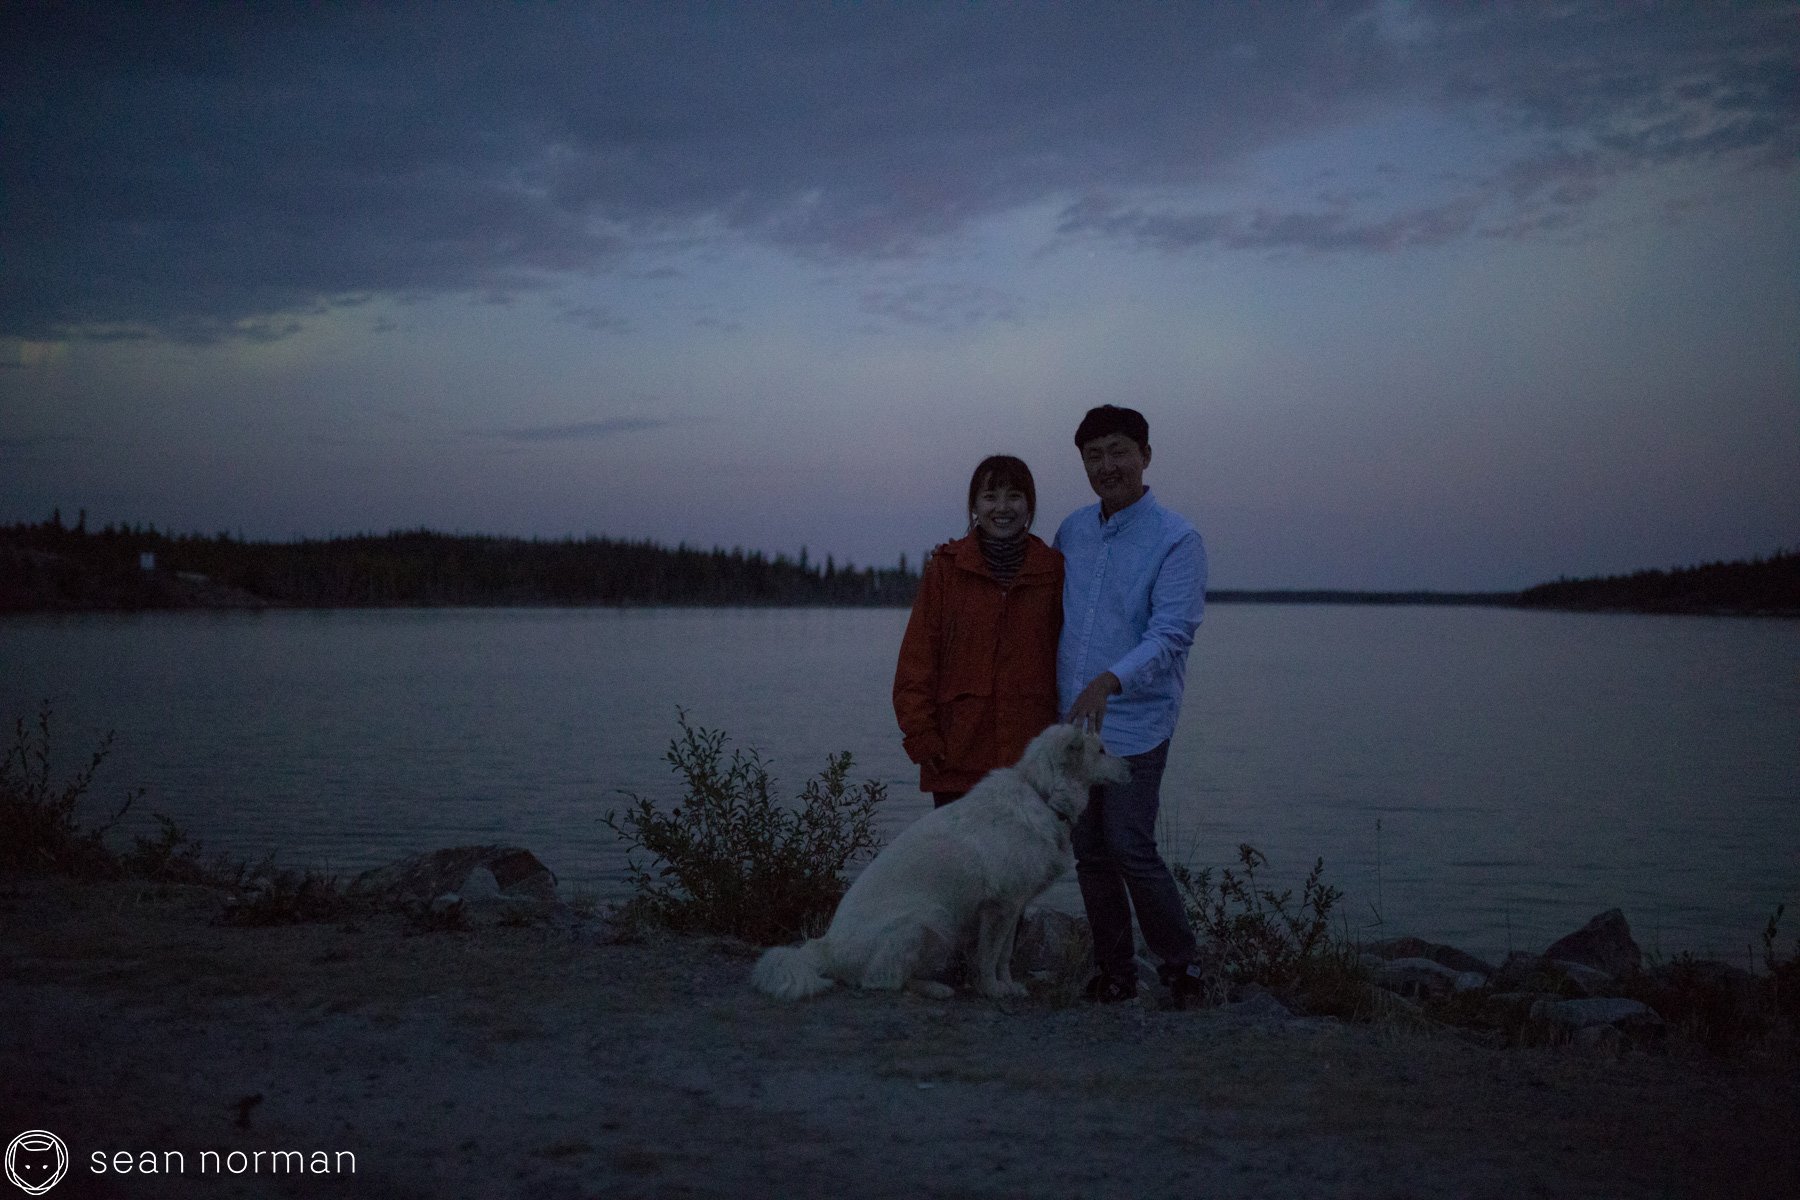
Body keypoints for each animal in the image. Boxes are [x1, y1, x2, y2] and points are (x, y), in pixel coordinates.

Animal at [748, 726, 1123, 1000]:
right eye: (1102, 750)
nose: (1131, 767)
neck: (1042, 795)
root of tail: (825, 946)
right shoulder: (999, 906)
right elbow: (988, 956)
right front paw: (992, 990)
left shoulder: (1014, 904)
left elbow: (1003, 955)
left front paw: (1008, 985)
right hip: (930, 920)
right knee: (880, 982)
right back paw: (934, 989)